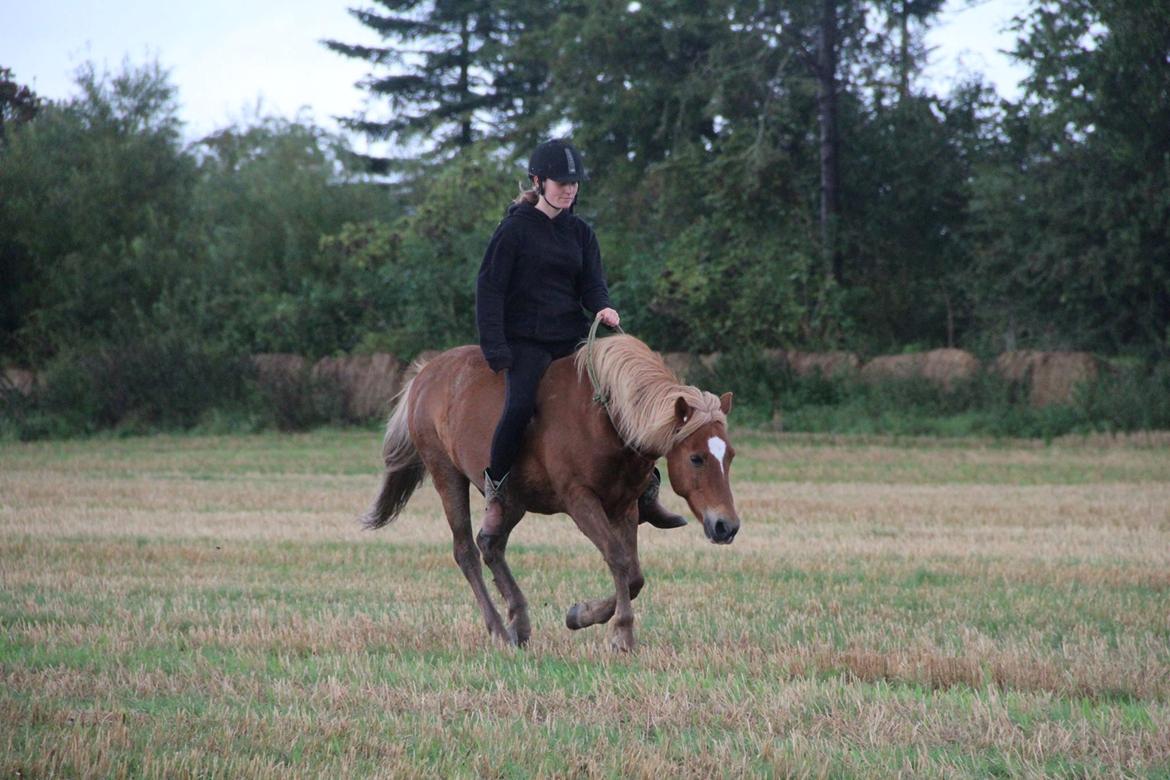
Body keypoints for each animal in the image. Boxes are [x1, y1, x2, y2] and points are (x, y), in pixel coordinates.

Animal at [360, 336, 739, 654]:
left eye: (730, 455)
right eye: (696, 458)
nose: (727, 526)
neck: (606, 417)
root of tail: (425, 374)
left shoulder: (624, 506)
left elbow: (632, 573)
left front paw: (583, 615)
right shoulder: (581, 501)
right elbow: (619, 560)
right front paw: (618, 632)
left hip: (513, 499)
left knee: (490, 545)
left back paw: (519, 622)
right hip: (446, 475)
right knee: (466, 551)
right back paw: (499, 630)